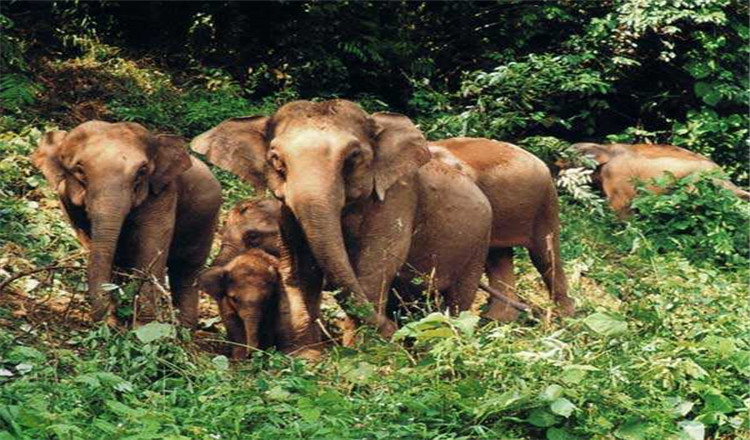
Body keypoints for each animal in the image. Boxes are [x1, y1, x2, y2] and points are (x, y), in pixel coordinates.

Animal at [33, 120, 222, 326]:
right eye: (80, 169)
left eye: (142, 171)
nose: (107, 322)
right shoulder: (67, 201)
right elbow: (94, 243)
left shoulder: (163, 192)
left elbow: (151, 249)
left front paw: (145, 326)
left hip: (207, 217)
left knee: (186, 269)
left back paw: (184, 330)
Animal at [192, 99, 494, 358]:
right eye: (276, 159)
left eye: (353, 157)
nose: (397, 335)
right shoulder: (287, 211)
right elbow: (300, 266)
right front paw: (306, 355)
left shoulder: (397, 196)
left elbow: (376, 265)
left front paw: (362, 354)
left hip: (479, 244)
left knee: (459, 297)